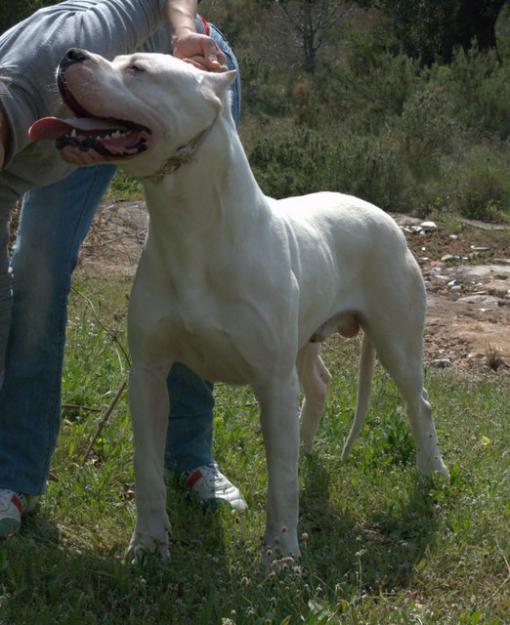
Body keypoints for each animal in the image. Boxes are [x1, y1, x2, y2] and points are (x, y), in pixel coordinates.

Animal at [29, 50, 448, 560]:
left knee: (419, 402)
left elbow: (281, 483)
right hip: (306, 340)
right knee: (319, 385)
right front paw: (147, 544)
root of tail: (382, 214)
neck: (191, 228)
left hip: (395, 341)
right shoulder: (147, 374)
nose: (70, 54)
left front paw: (282, 556)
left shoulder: (272, 380)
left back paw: (433, 472)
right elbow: (147, 466)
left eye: (138, 69)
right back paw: (305, 446)